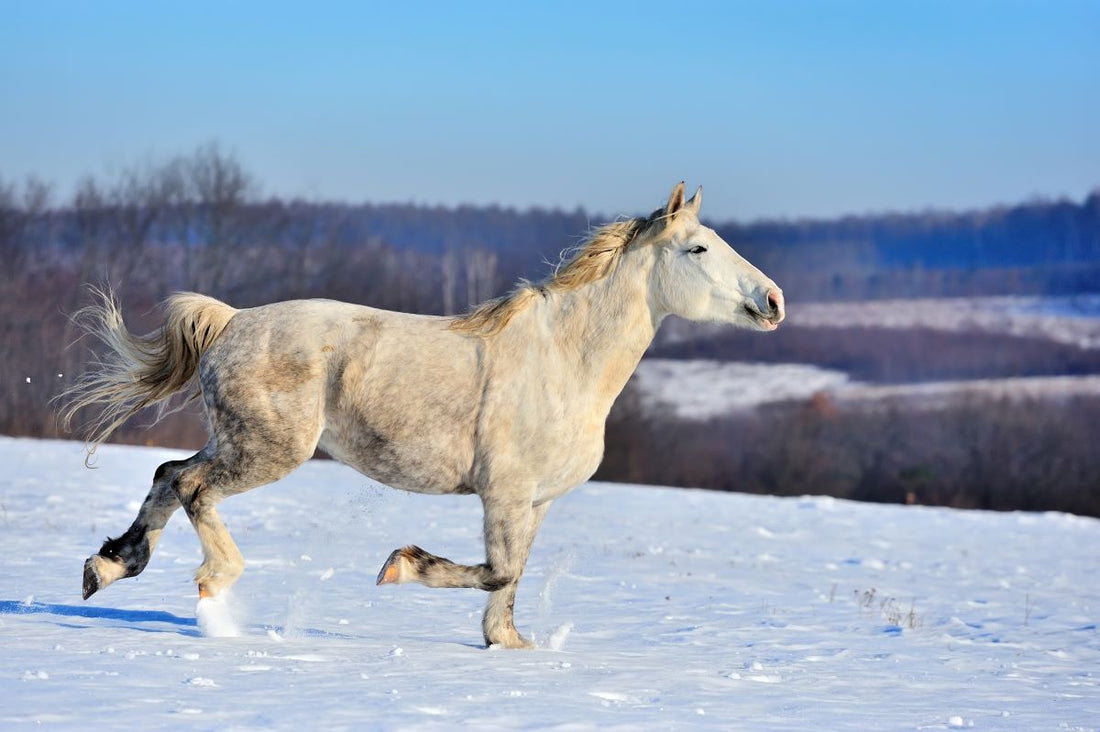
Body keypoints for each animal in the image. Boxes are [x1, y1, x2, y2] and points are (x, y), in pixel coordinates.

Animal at [61, 182, 785, 648]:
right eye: (697, 250)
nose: (773, 301)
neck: (565, 362)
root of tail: (231, 321)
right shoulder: (504, 492)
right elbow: (497, 570)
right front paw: (399, 566)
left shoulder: (536, 501)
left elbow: (511, 579)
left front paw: (507, 643)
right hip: (268, 450)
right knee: (191, 485)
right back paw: (215, 593)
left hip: (238, 441)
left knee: (167, 473)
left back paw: (107, 568)